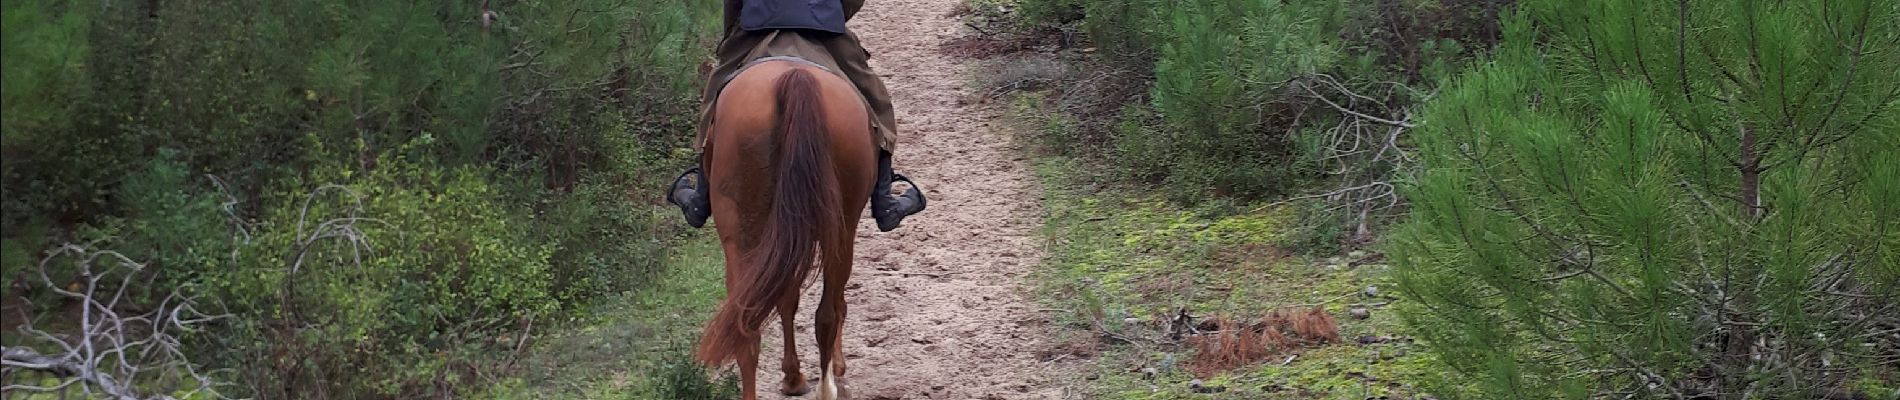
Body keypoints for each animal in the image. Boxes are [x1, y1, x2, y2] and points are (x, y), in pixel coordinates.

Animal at [695, 55, 877, 400]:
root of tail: (794, 78)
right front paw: (808, 374)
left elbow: (786, 300)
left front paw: (793, 376)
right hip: (840, 231)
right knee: (827, 313)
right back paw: (826, 387)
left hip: (742, 237)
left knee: (747, 327)